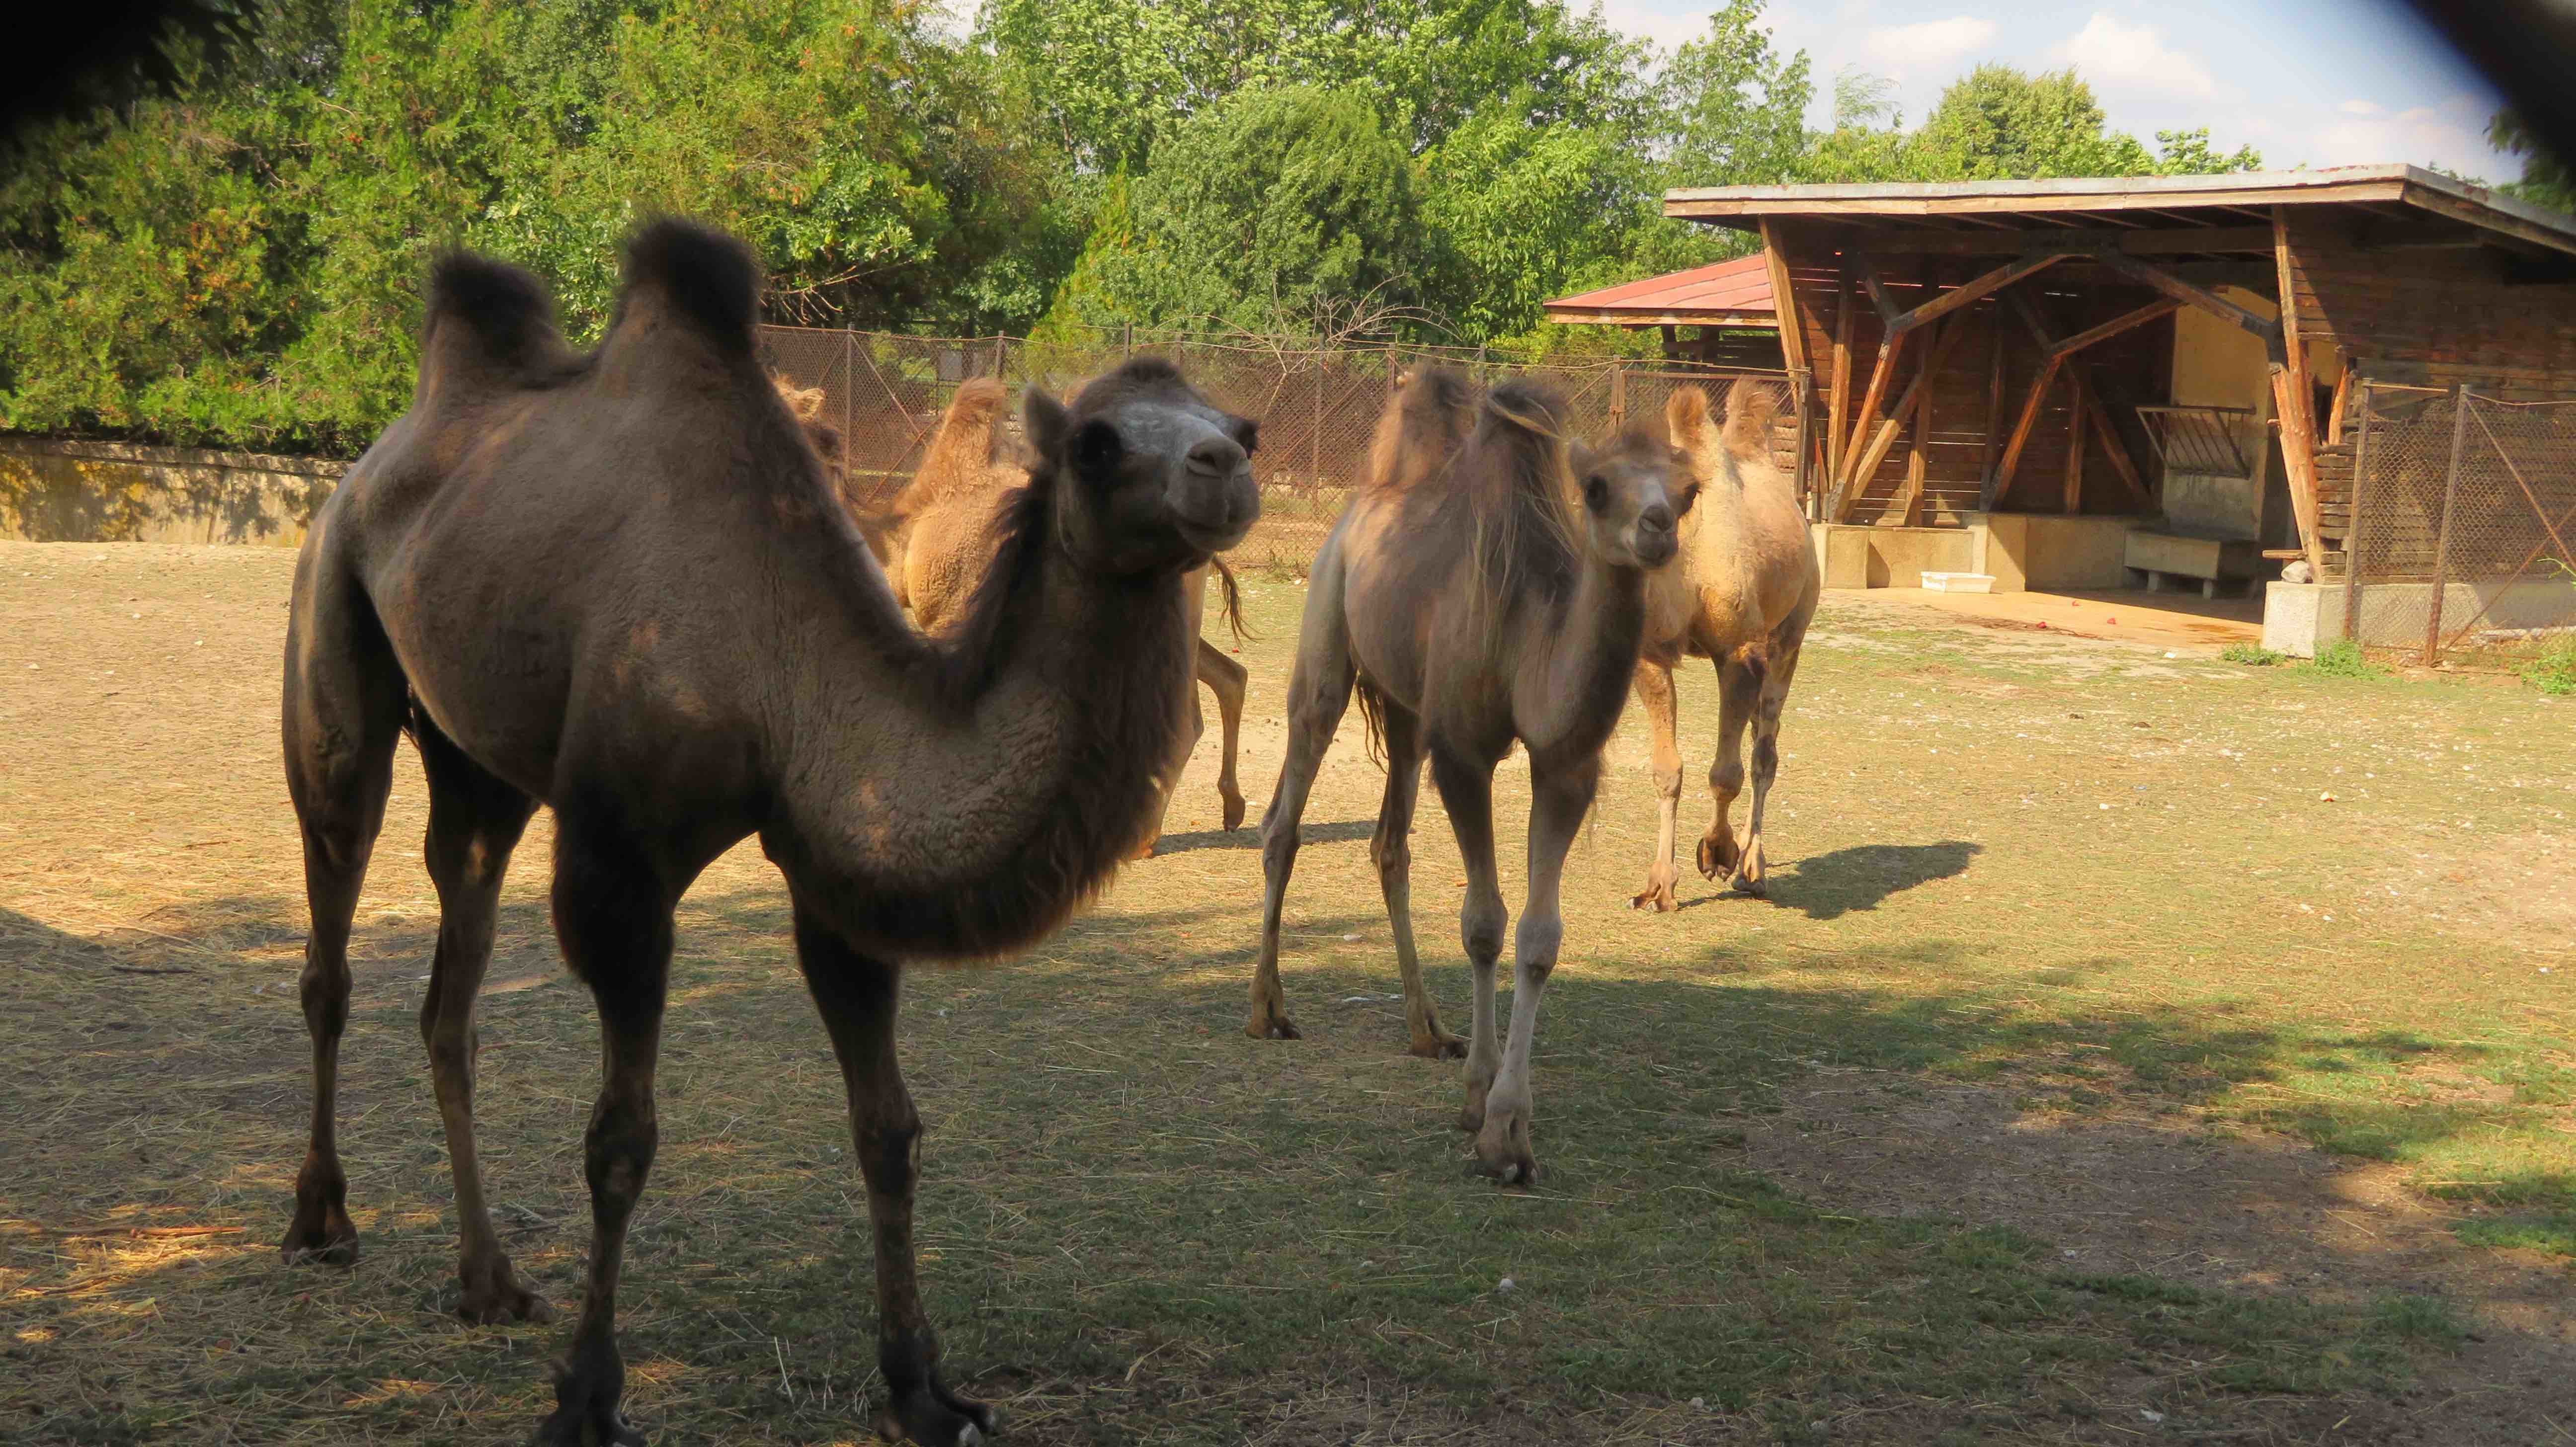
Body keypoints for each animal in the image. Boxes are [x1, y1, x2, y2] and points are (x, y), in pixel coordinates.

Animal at [1241, 363, 1690, 1184]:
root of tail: (1359, 508)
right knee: (1284, 818)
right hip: (1327, 632)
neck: (1528, 636)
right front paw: (1483, 1108)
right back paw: (1268, 1010)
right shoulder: (1464, 754)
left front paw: (1511, 1129)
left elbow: (1540, 936)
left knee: (1389, 844)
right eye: (1597, 487)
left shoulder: (1563, 767)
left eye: (1690, 488)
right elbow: (1483, 923)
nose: (1658, 528)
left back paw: (1428, 1030)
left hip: (1407, 711)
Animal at [1617, 384, 1824, 901]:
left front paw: (1717, 853)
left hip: (1790, 635)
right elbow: (1666, 768)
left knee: (1764, 753)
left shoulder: (1739, 653)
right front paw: (1660, 884)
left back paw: (1754, 865)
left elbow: (1726, 774)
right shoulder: (1651, 655)